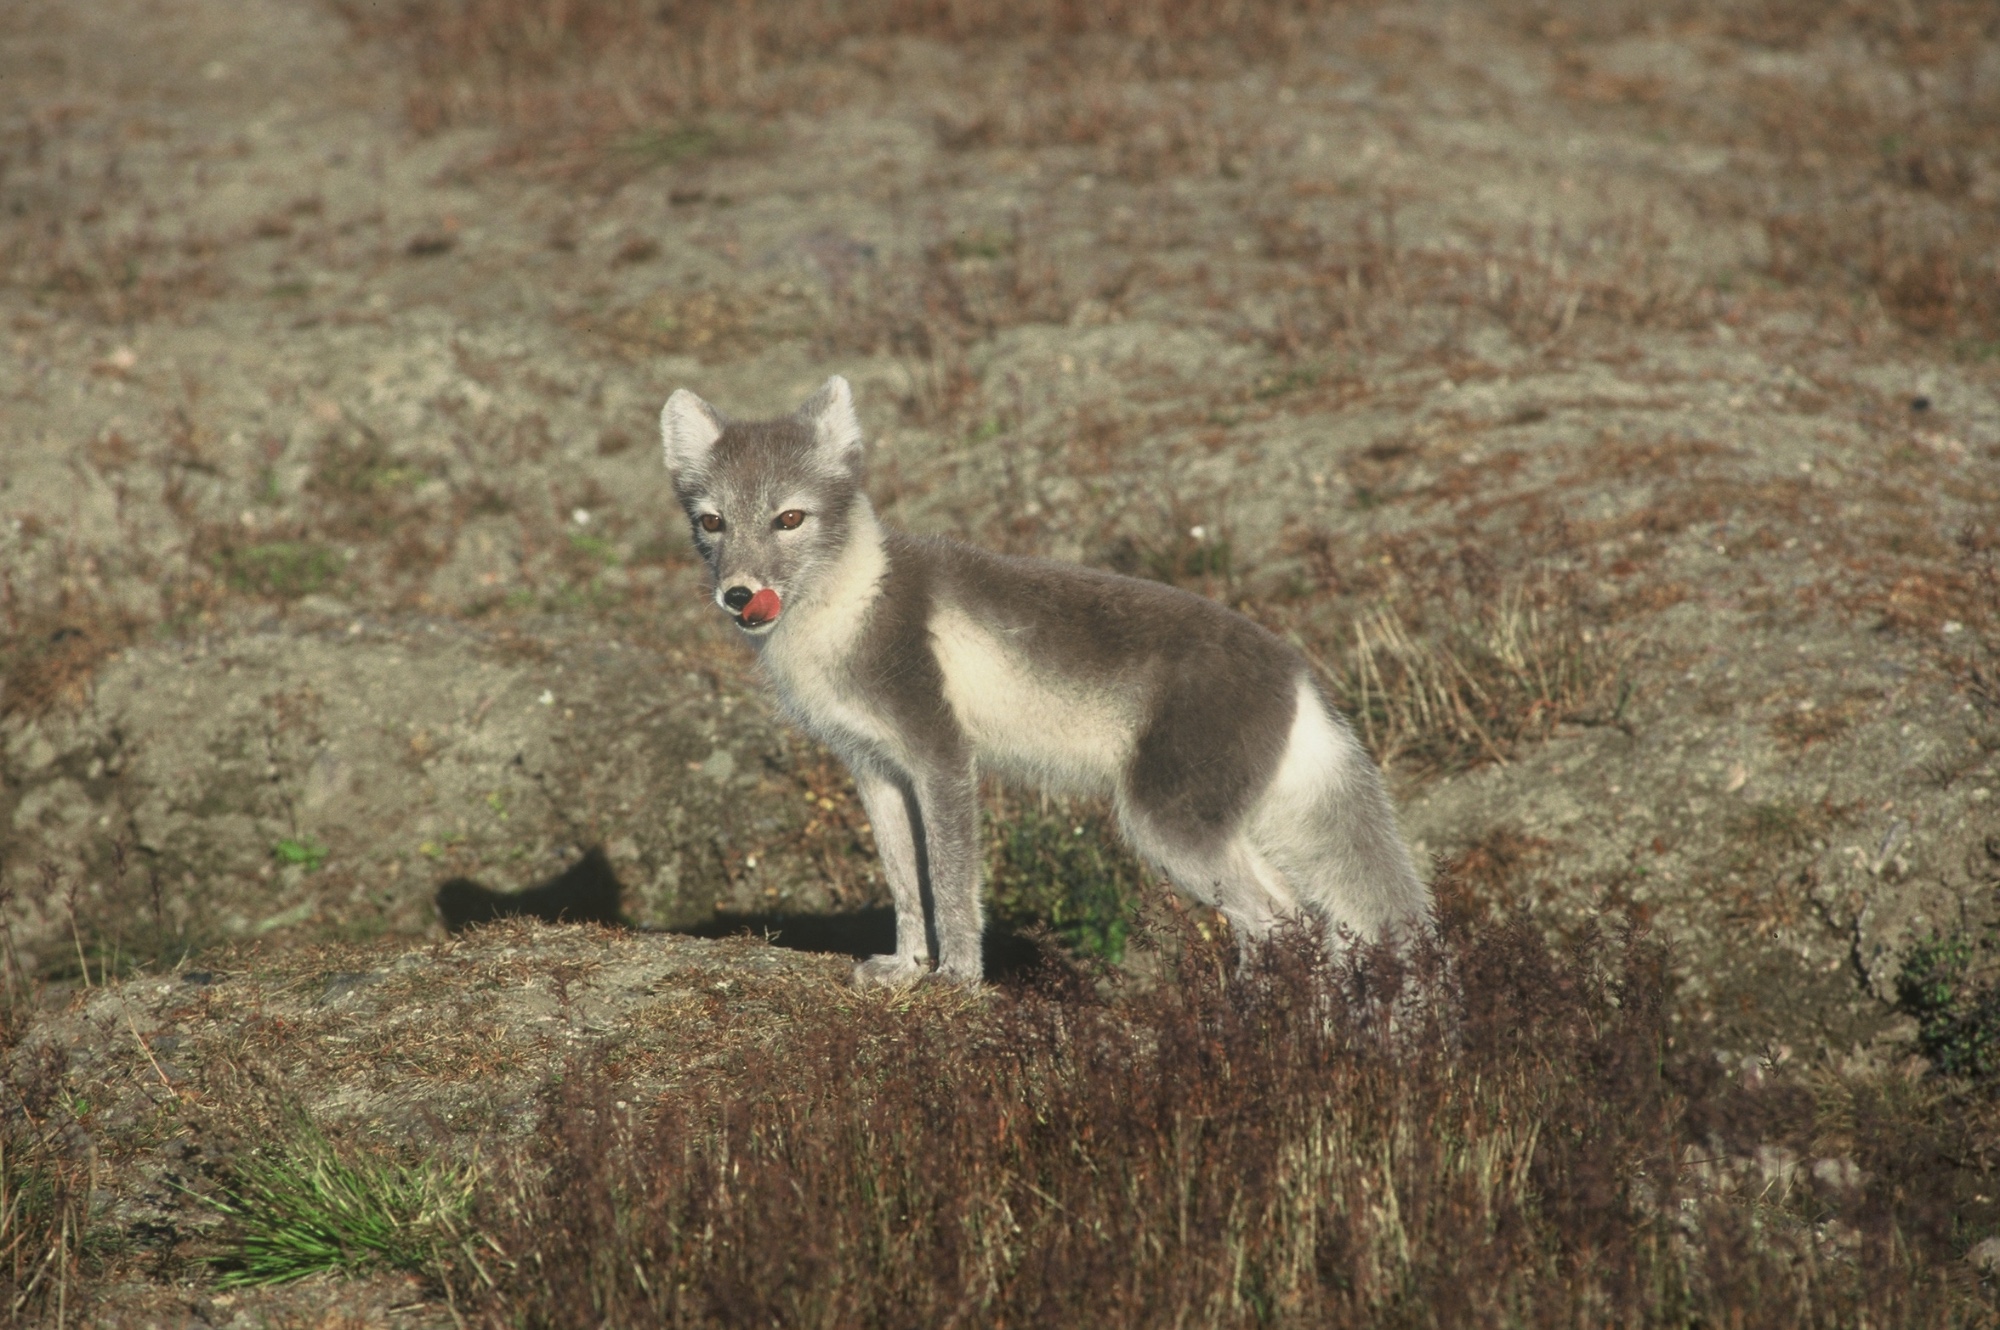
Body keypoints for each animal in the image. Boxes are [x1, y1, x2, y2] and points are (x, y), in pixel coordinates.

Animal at [660, 375, 1430, 986]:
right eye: (713, 522)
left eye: (790, 518)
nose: (739, 595)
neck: (849, 609)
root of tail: (1298, 672)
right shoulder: (874, 768)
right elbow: (905, 885)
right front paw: (906, 968)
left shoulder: (942, 758)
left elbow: (951, 884)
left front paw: (957, 978)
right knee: (1291, 923)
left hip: (1168, 826)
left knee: (1285, 917)